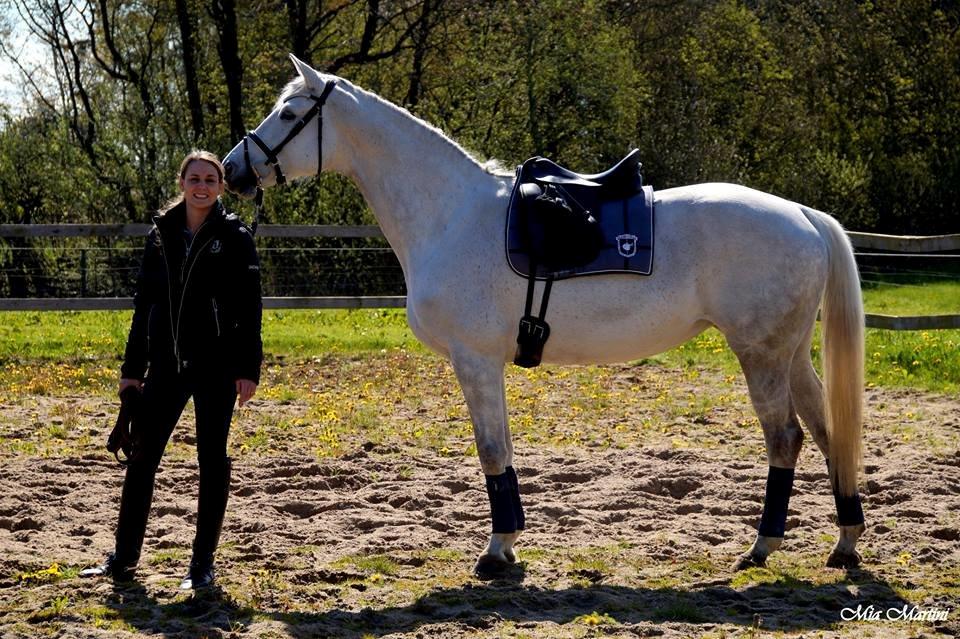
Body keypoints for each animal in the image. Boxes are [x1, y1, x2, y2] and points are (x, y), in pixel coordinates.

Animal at [225, 57, 872, 576]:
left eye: (288, 113)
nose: (233, 170)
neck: (451, 215)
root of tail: (802, 214)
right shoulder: (487, 365)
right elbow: (504, 452)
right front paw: (508, 546)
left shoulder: (475, 361)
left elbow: (491, 451)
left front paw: (494, 553)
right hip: (791, 355)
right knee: (827, 432)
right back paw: (844, 543)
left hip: (760, 355)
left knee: (785, 439)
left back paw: (761, 548)